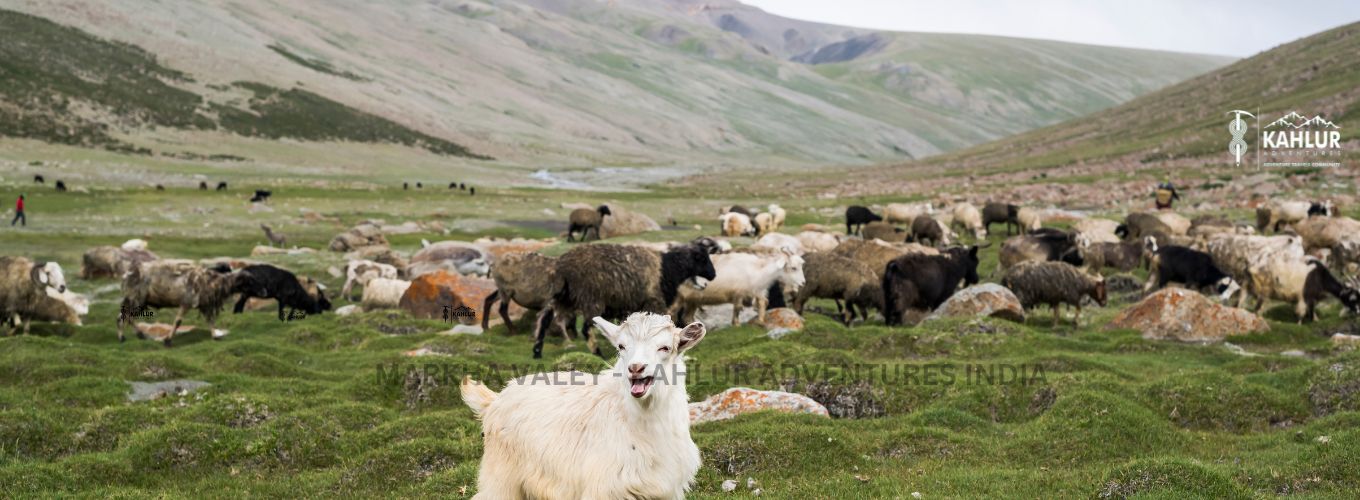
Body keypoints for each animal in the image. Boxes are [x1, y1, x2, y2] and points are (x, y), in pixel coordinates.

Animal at [462, 312, 707, 500]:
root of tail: (495, 398)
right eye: (621, 346)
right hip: (501, 477)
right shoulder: (603, 488)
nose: (636, 368)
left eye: (665, 347)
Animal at [535, 244, 718, 358]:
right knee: (586, 328)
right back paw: (597, 353)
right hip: (591, 298)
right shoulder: (654, 301)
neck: (668, 268)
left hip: (561, 295)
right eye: (702, 259)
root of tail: (562, 268)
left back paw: (537, 352)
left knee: (544, 320)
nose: (713, 275)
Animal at [671, 248, 799, 326]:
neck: (756, 269)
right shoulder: (739, 293)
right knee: (672, 313)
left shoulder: (754, 291)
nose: (801, 283)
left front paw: (760, 321)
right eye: (793, 268)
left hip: (692, 300)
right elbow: (738, 308)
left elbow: (762, 302)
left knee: (687, 317)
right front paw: (736, 324)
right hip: (677, 298)